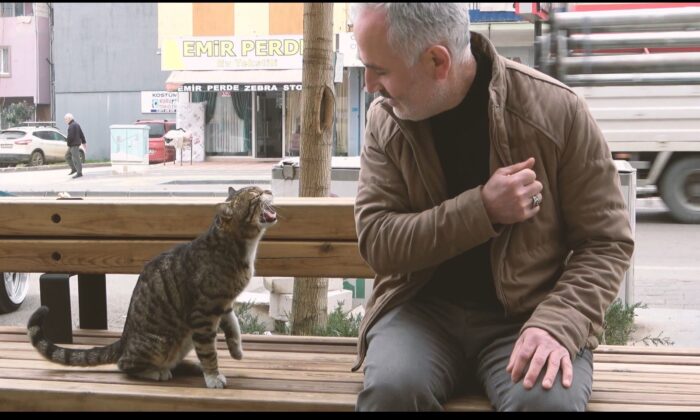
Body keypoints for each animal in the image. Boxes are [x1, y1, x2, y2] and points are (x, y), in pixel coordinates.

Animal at [28, 185, 278, 388]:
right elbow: (209, 352)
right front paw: (213, 376)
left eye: (260, 190)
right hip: (163, 342)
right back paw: (157, 371)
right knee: (125, 365)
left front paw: (236, 350)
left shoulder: (223, 304)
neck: (237, 245)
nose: (269, 189)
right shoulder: (203, 313)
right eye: (256, 195)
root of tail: (124, 341)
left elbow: (233, 326)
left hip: (184, 339)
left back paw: (188, 366)